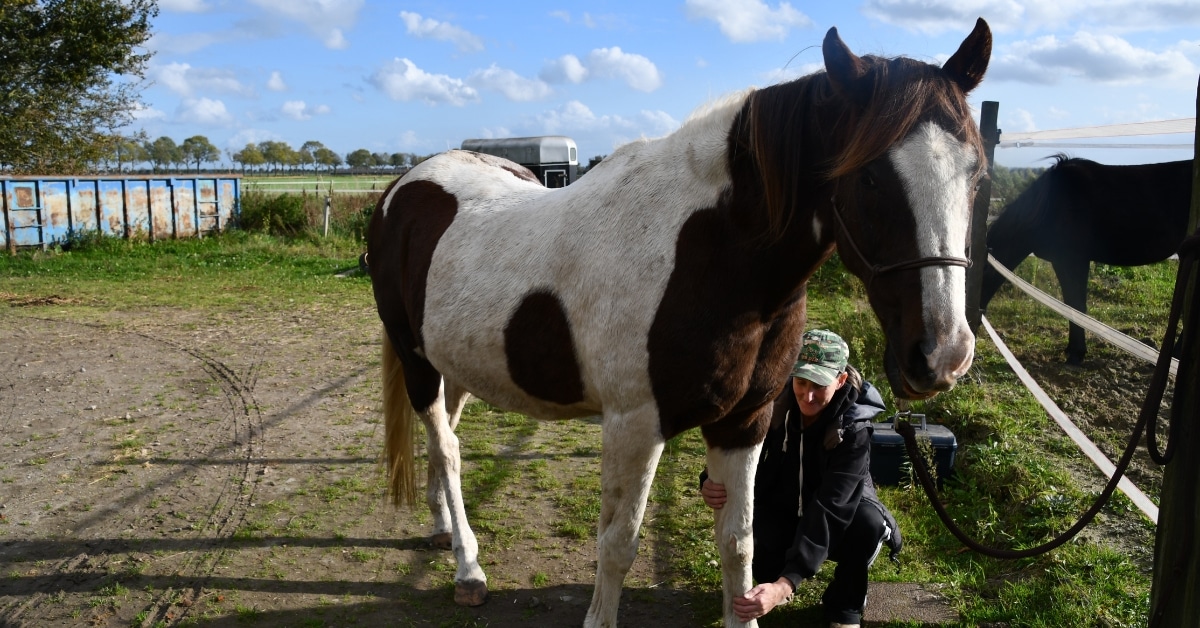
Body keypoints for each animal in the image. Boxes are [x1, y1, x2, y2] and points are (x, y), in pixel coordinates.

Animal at [364, 19, 993, 628]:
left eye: (977, 174)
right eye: (868, 177)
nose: (943, 354)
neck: (708, 252)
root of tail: (403, 187)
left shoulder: (745, 422)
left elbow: (738, 544)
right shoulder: (634, 426)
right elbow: (617, 545)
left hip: (458, 364)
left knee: (444, 437)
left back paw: (442, 526)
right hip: (417, 362)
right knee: (447, 449)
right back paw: (468, 568)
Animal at [984, 154, 1190, 365]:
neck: (1051, 204)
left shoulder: (1073, 260)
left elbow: (1076, 304)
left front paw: (1076, 353)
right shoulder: (1061, 261)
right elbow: (1070, 304)